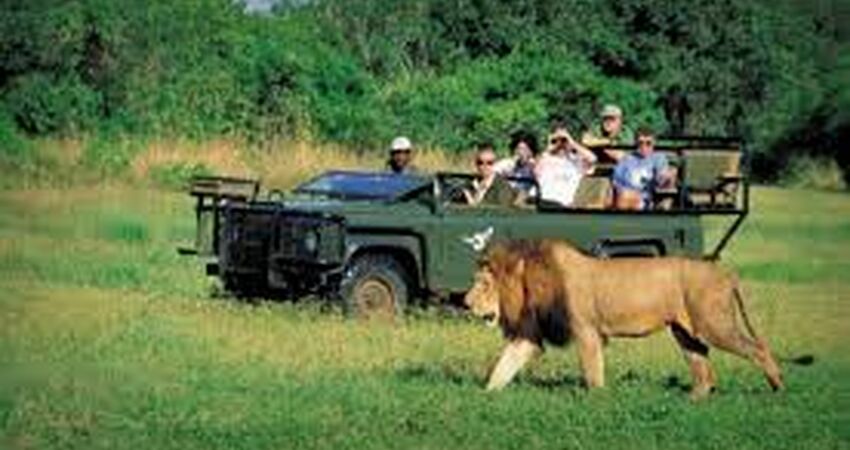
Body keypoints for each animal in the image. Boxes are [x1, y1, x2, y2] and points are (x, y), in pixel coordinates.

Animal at [464, 239, 780, 398]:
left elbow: (592, 370)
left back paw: (777, 386)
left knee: (758, 347)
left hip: (714, 324)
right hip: (685, 332)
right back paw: (695, 398)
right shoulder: (529, 335)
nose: (465, 303)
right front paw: (484, 396)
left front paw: (596, 400)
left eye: (484, 284)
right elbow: (504, 365)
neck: (533, 283)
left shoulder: (586, 331)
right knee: (700, 360)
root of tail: (726, 273)